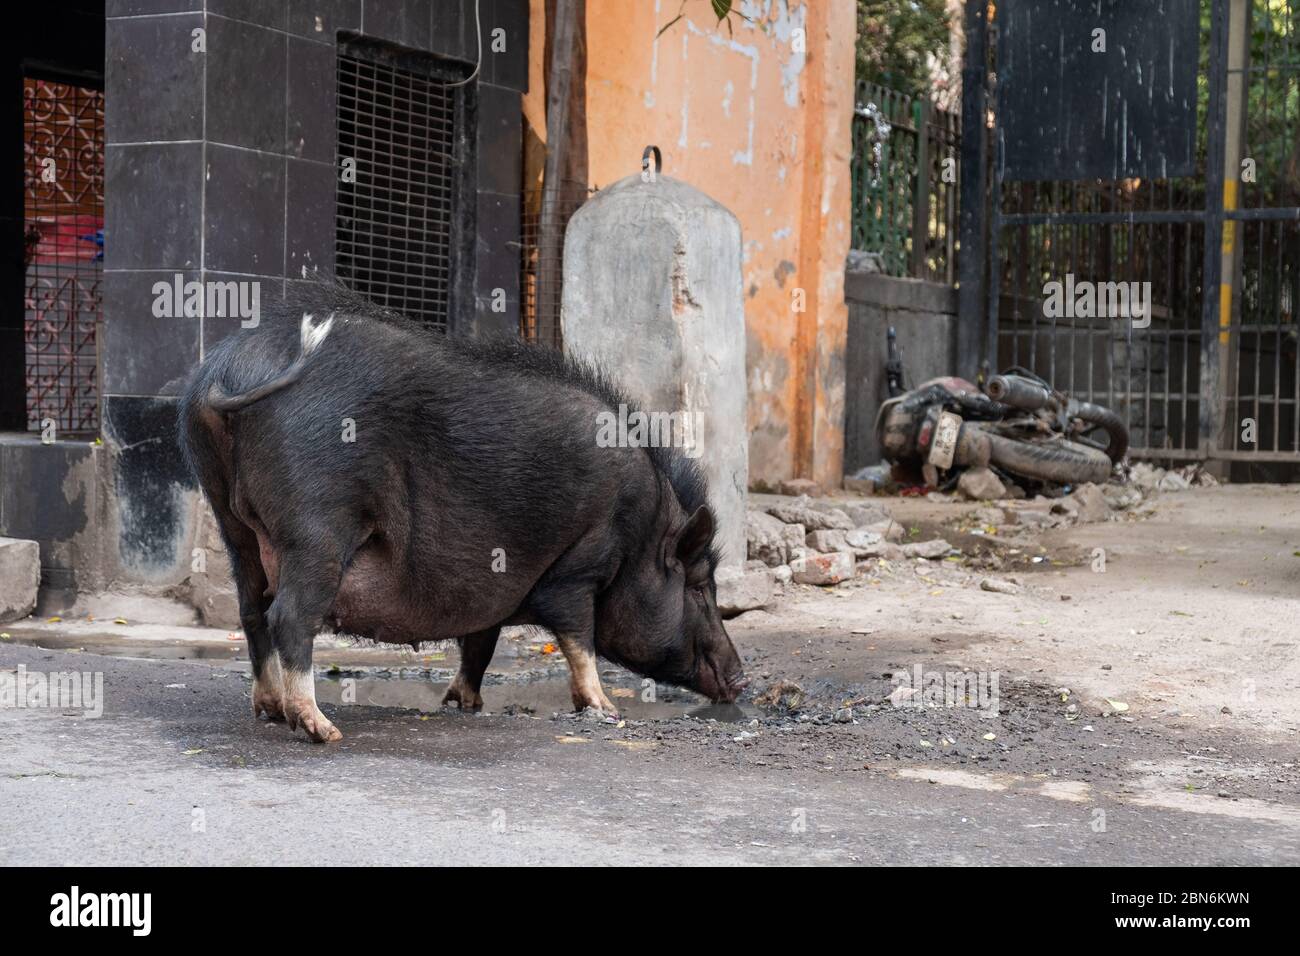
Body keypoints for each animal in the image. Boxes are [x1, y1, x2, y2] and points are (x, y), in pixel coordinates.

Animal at [179, 280, 748, 743]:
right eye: (700, 585)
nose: (742, 678)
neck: (642, 531)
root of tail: (229, 371)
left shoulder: (493, 587)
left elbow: (481, 642)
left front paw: (464, 704)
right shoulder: (579, 565)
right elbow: (578, 638)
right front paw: (605, 709)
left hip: (233, 525)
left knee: (252, 612)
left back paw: (271, 710)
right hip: (317, 527)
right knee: (290, 615)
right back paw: (322, 729)